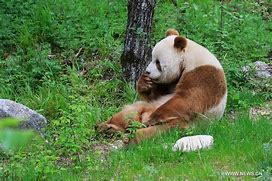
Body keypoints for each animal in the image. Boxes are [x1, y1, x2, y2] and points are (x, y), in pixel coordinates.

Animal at [96, 28, 226, 144]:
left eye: (158, 62)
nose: (147, 72)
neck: (188, 57)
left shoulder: (203, 75)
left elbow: (187, 100)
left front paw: (154, 117)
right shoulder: (171, 81)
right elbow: (159, 94)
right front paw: (145, 83)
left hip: (182, 124)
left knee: (159, 131)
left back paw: (132, 138)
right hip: (145, 107)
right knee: (130, 112)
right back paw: (107, 127)